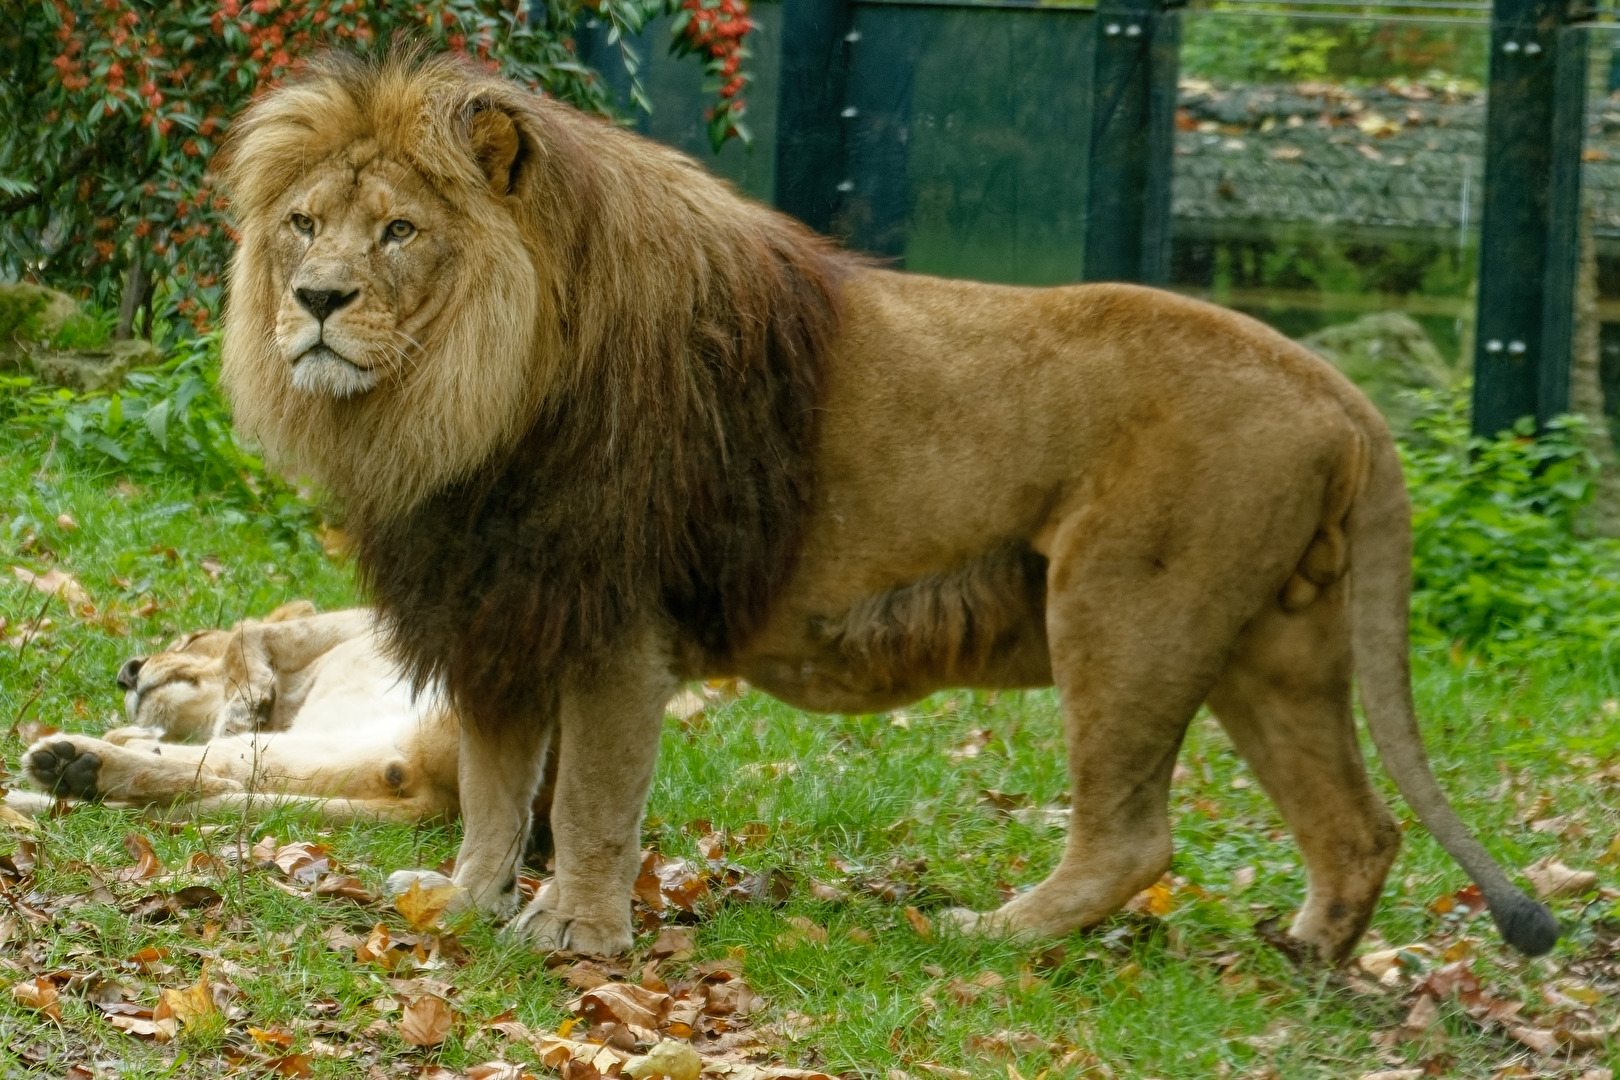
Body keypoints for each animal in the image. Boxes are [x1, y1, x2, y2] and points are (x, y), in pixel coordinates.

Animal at [214, 49, 1557, 963]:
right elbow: (499, 792)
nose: (318, 300)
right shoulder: (497, 609)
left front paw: (574, 933)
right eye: (304, 223)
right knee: (1356, 825)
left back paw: (991, 934)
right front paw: (465, 904)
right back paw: (1308, 960)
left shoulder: (611, 624)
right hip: (1271, 643)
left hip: (1125, 610)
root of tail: (1340, 389)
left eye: (399, 231)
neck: (455, 404)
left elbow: (589, 796)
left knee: (1135, 834)